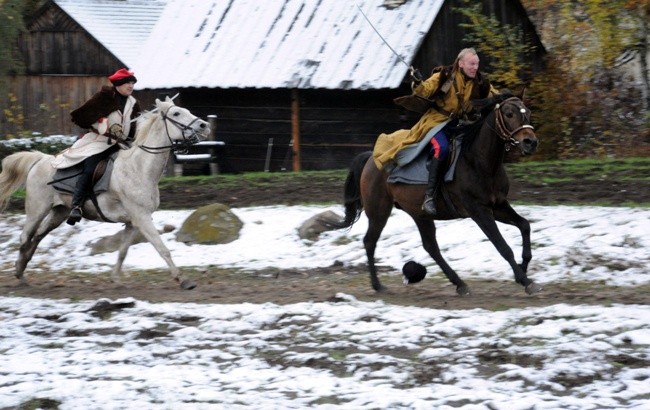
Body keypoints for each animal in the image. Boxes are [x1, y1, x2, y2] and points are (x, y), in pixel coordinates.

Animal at [0, 97, 210, 288]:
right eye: (176, 113)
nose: (204, 125)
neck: (138, 168)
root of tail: (40, 159)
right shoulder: (142, 218)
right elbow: (162, 248)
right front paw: (183, 279)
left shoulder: (132, 222)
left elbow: (123, 251)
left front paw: (116, 279)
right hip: (37, 210)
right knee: (25, 237)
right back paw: (19, 274)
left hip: (59, 212)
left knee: (37, 237)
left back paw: (21, 270)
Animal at [332, 90, 540, 294]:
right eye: (509, 114)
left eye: (528, 112)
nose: (530, 142)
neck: (479, 161)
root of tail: (371, 159)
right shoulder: (479, 211)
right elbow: (503, 246)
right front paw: (525, 280)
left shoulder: (498, 206)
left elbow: (524, 225)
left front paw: (522, 269)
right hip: (379, 212)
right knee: (370, 241)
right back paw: (378, 285)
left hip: (419, 213)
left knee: (431, 246)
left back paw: (459, 283)